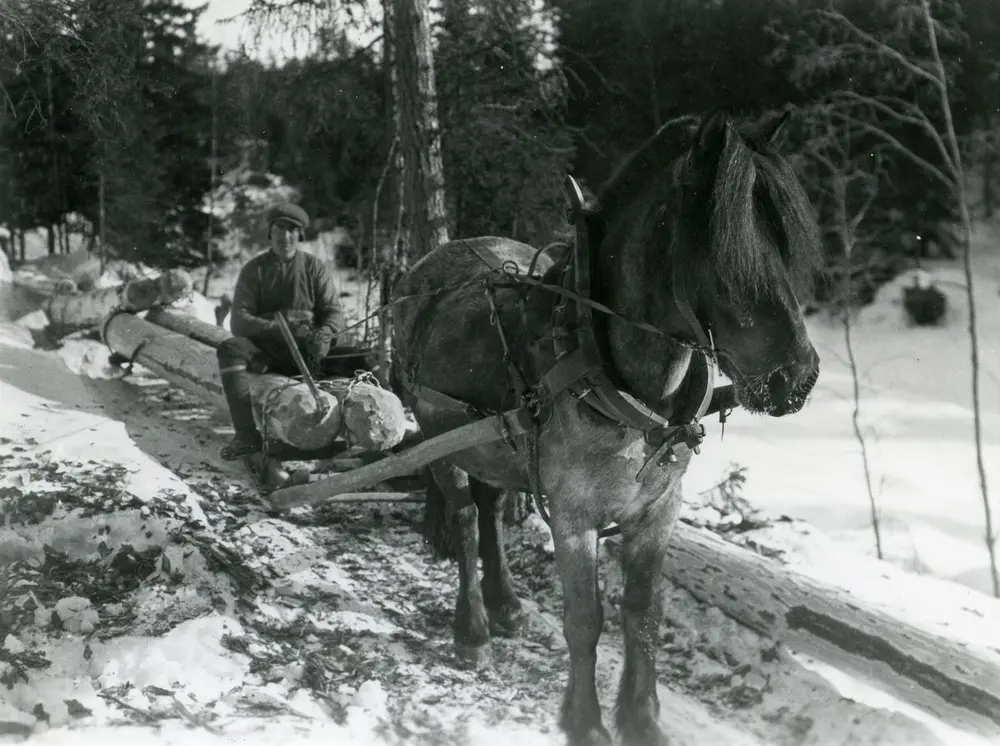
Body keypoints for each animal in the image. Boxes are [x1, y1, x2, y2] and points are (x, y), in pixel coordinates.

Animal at [390, 109, 820, 744]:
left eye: (788, 247)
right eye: (725, 254)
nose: (797, 378)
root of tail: (429, 264)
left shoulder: (659, 511)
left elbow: (643, 614)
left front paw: (642, 719)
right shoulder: (574, 516)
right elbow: (585, 620)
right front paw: (586, 723)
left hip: (494, 443)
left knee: (491, 509)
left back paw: (506, 604)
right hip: (439, 439)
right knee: (466, 521)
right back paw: (473, 630)